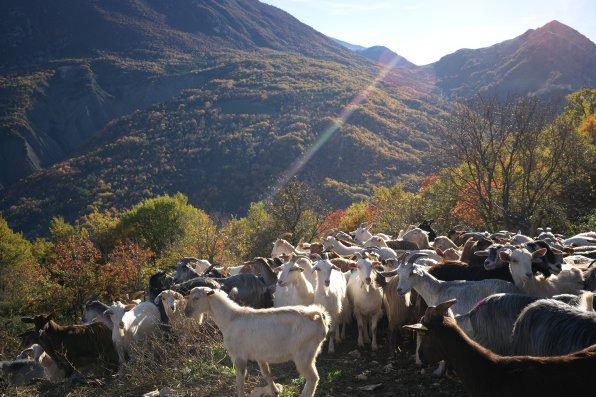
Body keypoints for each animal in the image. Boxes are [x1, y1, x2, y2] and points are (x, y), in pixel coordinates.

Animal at [185, 286, 328, 396]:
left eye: (196, 298)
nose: (186, 312)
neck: (231, 318)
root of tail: (317, 316)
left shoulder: (238, 356)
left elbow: (240, 380)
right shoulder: (260, 355)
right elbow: (266, 373)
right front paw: (275, 391)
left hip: (304, 355)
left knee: (313, 378)